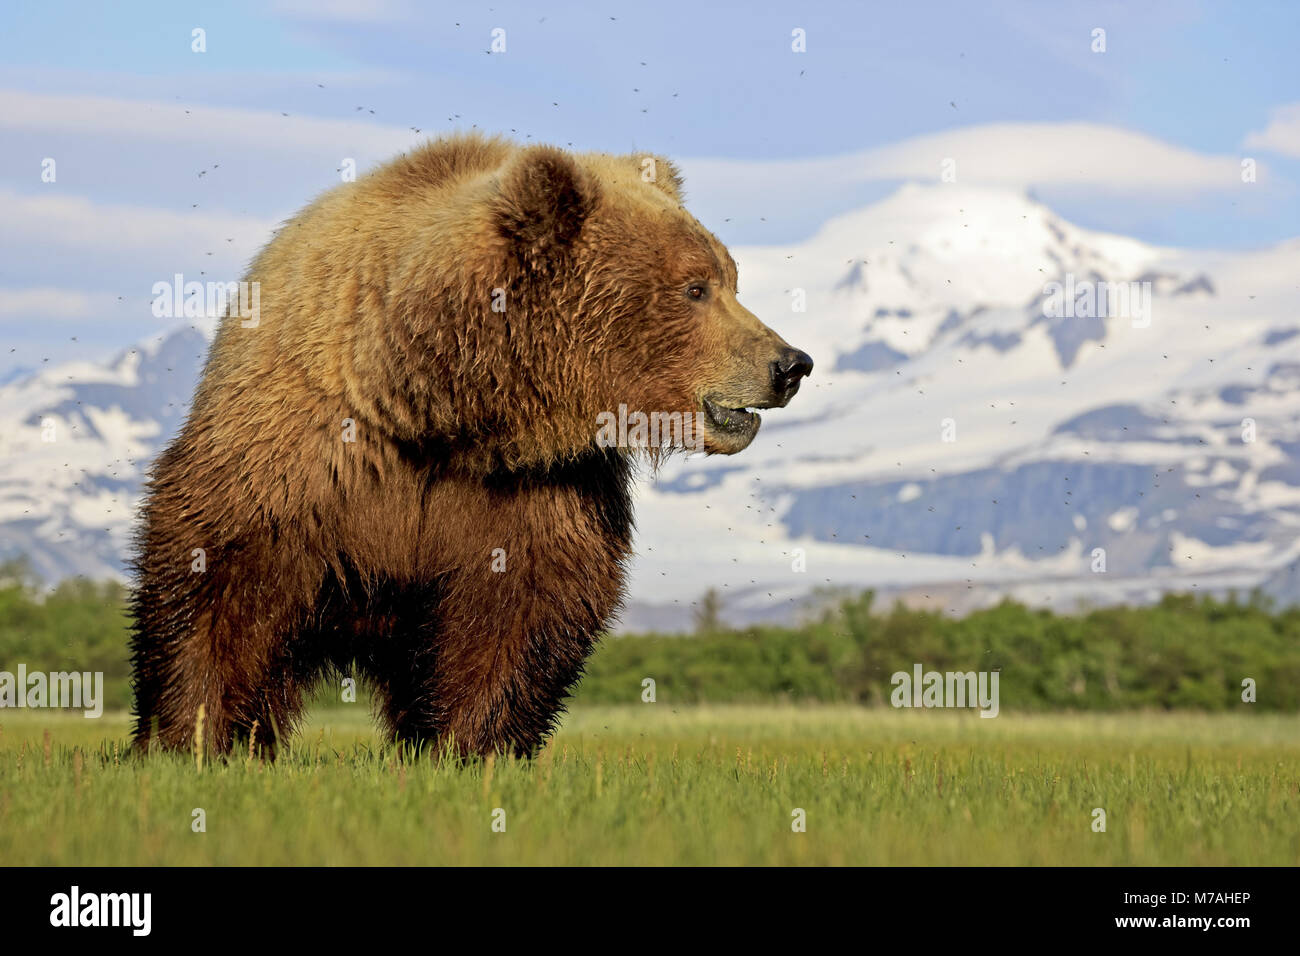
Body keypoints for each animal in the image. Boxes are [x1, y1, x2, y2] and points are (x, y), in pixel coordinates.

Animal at [126, 136, 806, 764]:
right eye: (695, 288)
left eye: (731, 280)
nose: (790, 363)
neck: (448, 410)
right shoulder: (306, 454)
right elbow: (220, 576)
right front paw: (195, 739)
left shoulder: (537, 488)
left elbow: (521, 611)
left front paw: (467, 748)